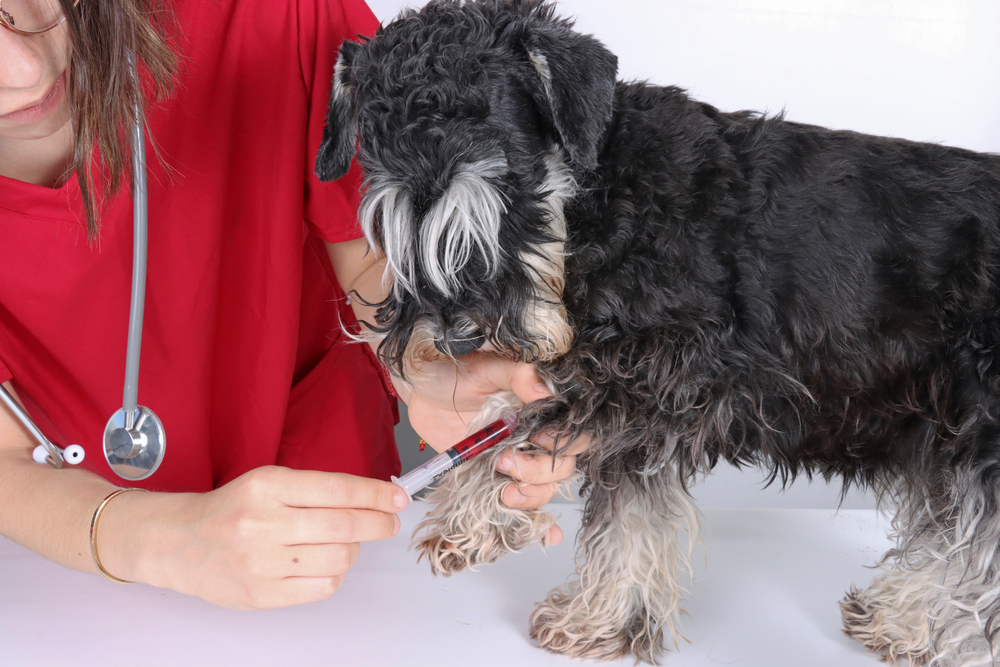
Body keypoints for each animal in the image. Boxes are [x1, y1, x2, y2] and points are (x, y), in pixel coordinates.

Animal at [316, 1, 1000, 664]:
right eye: (386, 218)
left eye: (512, 187)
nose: (456, 336)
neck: (600, 197)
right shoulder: (617, 380)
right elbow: (533, 429)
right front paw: (486, 523)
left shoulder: (655, 385)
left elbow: (605, 492)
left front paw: (588, 611)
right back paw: (899, 620)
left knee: (975, 547)